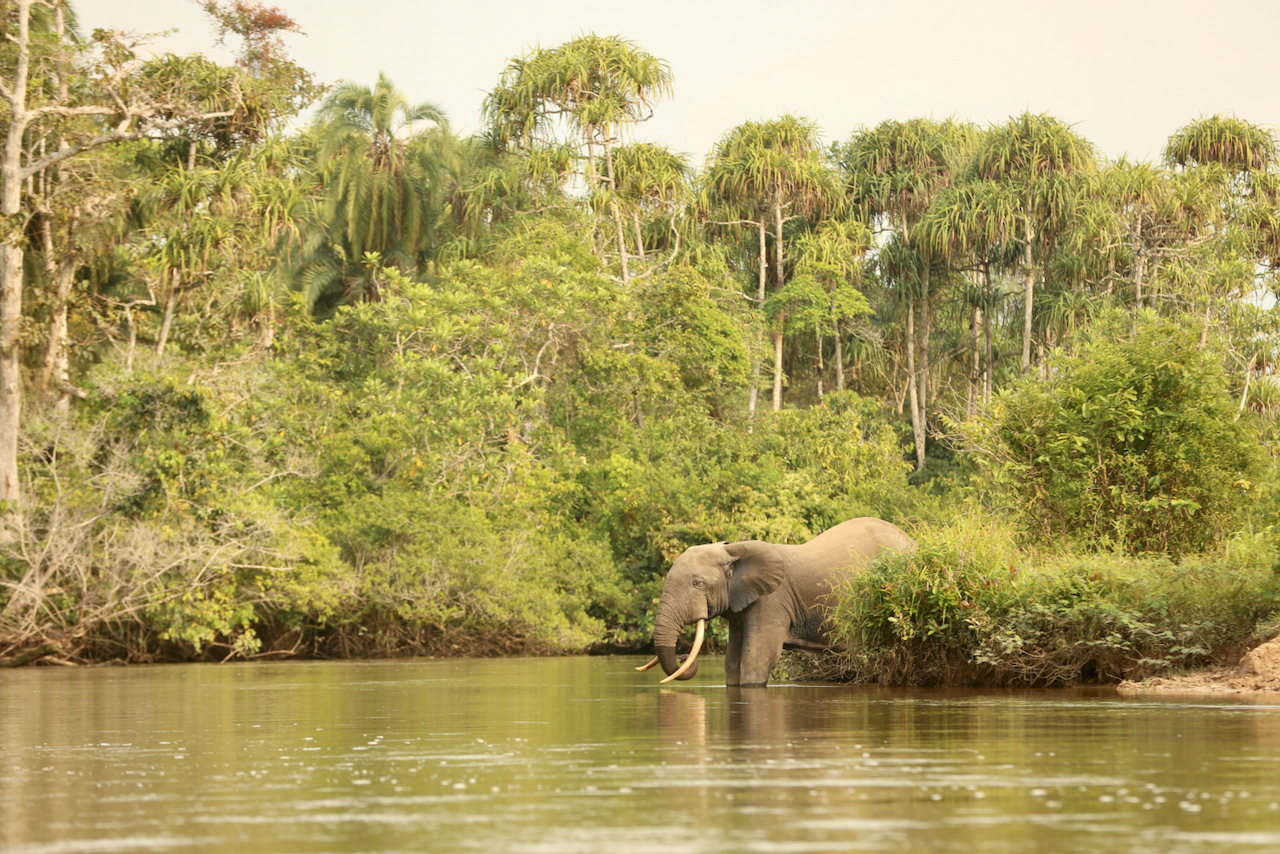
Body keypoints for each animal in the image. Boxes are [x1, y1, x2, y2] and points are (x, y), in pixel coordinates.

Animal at [636, 517, 914, 687]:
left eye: (697, 584)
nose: (684, 655)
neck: (733, 550)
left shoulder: (771, 602)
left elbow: (756, 658)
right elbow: (732, 661)